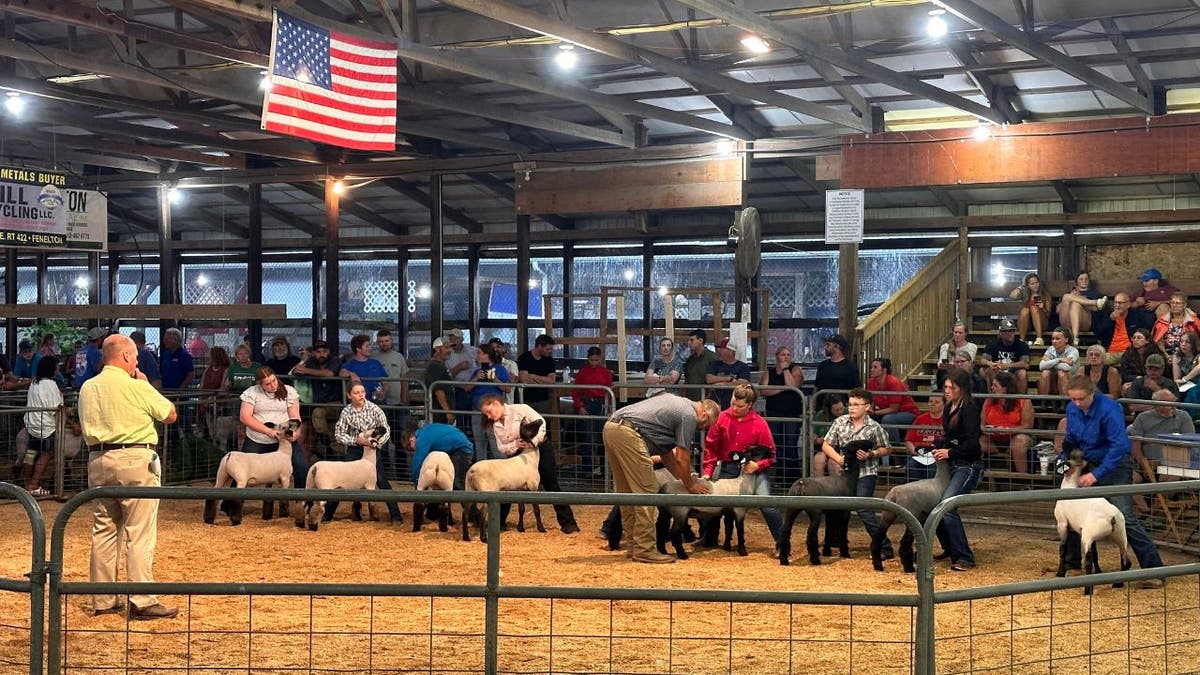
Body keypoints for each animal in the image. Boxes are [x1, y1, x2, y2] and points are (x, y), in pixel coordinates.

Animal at [1051, 446, 1132, 593]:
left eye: (1071, 455)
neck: (1070, 486)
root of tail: (1112, 517)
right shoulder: (1085, 532)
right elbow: (1095, 553)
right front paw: (1099, 572)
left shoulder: (1062, 524)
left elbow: (1062, 549)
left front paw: (1060, 573)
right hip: (1120, 535)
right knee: (1126, 560)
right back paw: (1118, 583)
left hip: (1088, 536)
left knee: (1087, 561)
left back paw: (1087, 589)